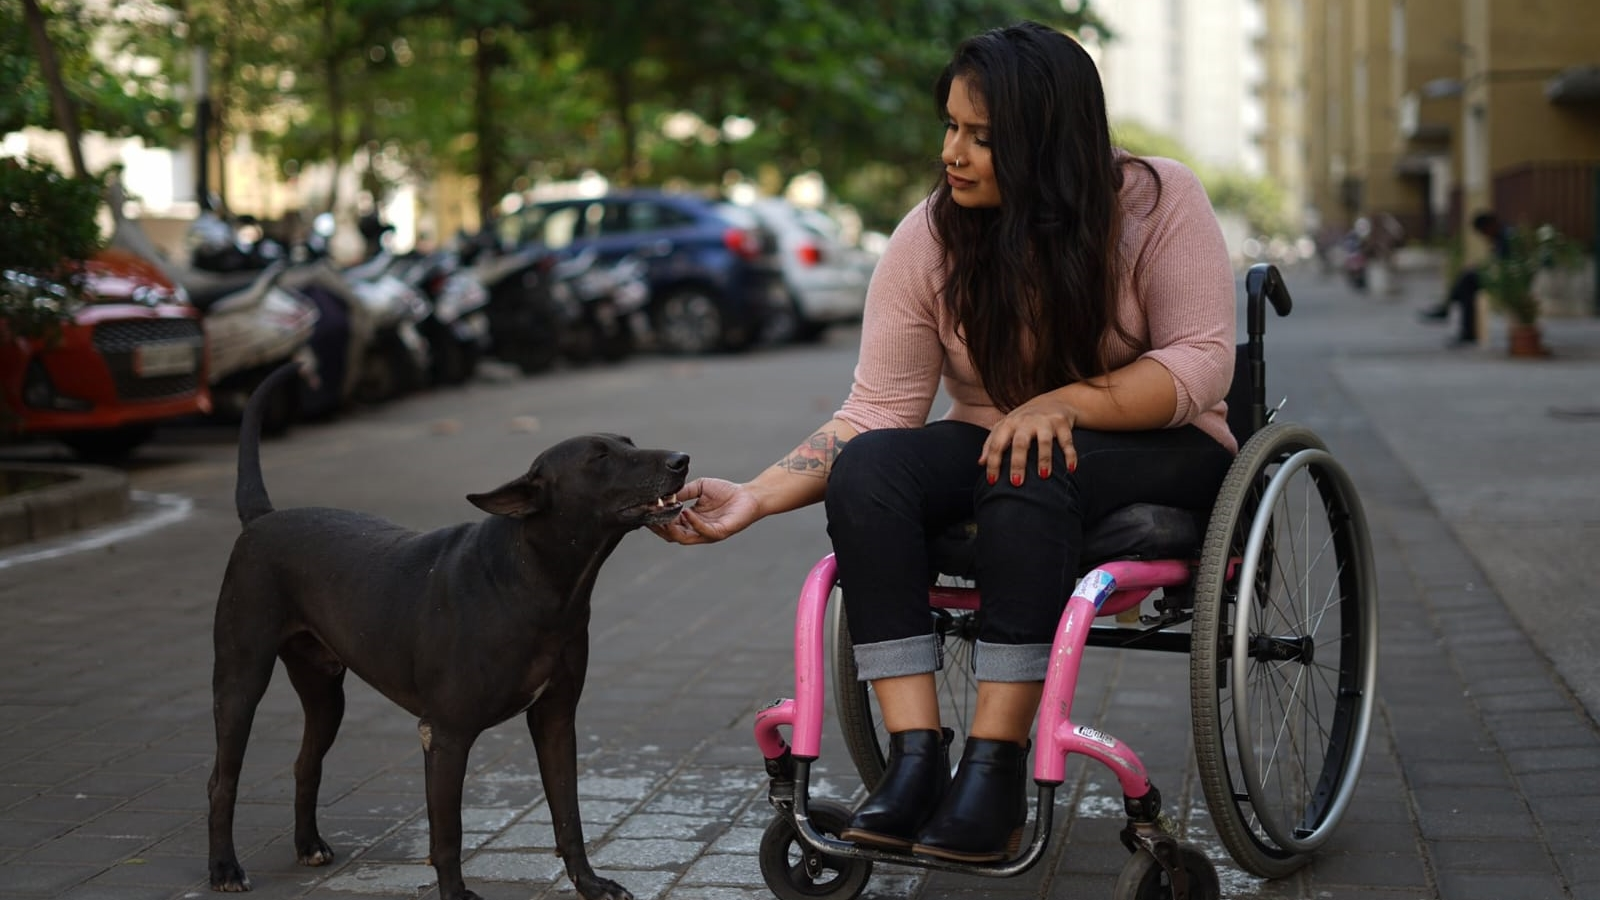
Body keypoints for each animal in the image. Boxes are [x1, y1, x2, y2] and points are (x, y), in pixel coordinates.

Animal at [209, 360, 684, 890]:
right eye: (599, 458)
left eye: (629, 441)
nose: (681, 460)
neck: (537, 583)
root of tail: (261, 519)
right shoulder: (446, 735)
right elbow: (447, 835)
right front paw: (458, 894)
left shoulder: (557, 720)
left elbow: (569, 813)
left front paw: (590, 885)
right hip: (241, 682)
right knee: (221, 779)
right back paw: (224, 867)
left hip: (325, 693)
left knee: (305, 762)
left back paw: (308, 844)